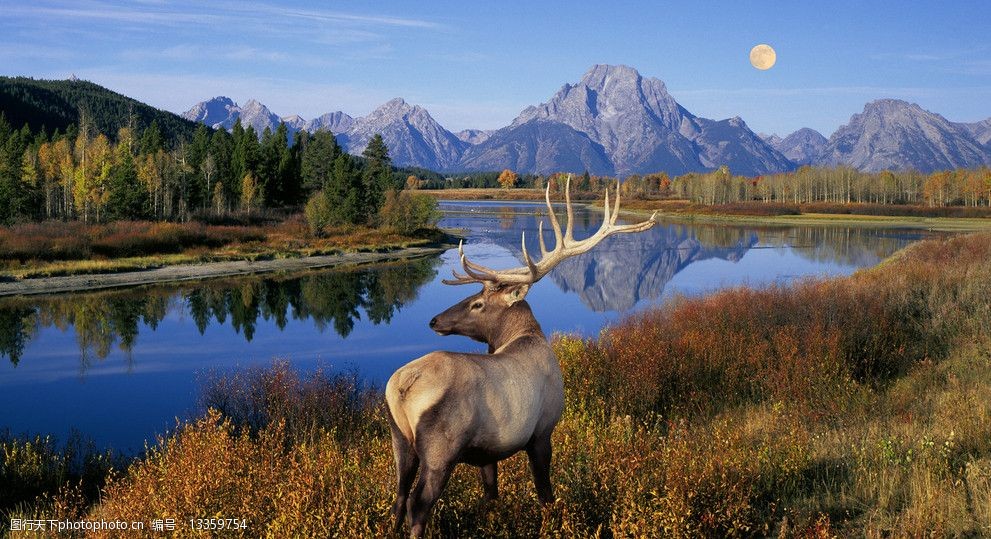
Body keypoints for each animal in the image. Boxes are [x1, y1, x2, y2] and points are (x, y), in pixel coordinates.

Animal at [386, 176, 660, 536]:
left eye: (477, 303)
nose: (434, 320)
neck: (526, 336)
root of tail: (402, 388)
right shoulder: (542, 431)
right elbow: (546, 493)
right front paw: (553, 522)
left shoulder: (487, 452)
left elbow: (492, 494)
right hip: (440, 450)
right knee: (418, 505)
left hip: (400, 441)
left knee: (399, 498)